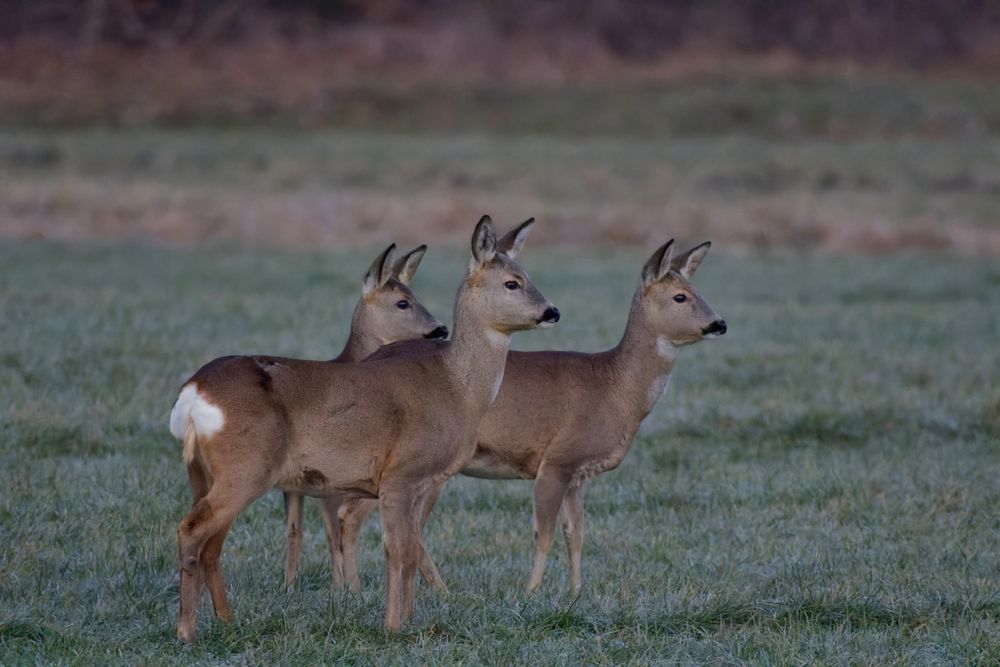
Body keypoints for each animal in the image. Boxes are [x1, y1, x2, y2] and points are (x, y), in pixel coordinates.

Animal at [282, 243, 450, 588]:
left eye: (416, 294)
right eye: (402, 302)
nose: (441, 329)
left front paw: (341, 588)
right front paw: (347, 589)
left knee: (295, 529)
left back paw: (289, 586)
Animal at [328, 240, 728, 596]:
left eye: (697, 289)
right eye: (680, 296)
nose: (719, 323)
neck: (615, 386)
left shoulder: (580, 474)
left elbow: (576, 533)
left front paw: (575, 592)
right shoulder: (557, 459)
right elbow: (544, 531)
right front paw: (532, 591)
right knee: (358, 515)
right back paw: (368, 590)